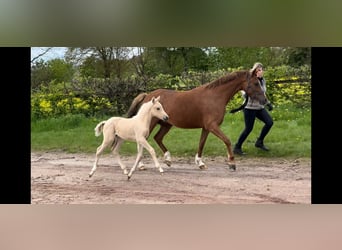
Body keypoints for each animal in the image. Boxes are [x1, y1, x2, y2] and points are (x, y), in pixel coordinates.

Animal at [127, 68, 268, 171]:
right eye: (256, 83)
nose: (265, 101)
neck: (215, 96)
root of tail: (147, 96)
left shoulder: (206, 128)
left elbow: (201, 144)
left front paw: (200, 163)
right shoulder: (212, 126)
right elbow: (227, 141)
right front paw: (232, 163)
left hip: (166, 124)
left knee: (158, 138)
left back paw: (168, 160)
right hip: (151, 124)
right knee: (142, 141)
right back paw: (141, 165)